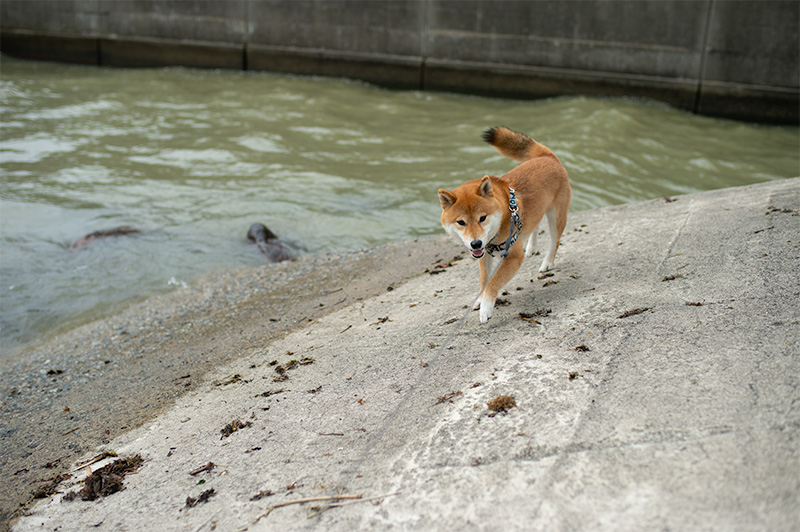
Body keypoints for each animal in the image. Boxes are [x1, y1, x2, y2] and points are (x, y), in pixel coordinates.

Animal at [438, 127, 568, 322]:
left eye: (482, 218)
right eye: (461, 222)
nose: (475, 243)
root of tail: (548, 157)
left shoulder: (513, 257)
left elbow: (493, 282)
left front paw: (486, 308)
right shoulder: (484, 254)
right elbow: (484, 280)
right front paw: (480, 300)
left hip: (556, 216)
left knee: (555, 241)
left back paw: (547, 263)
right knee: (534, 224)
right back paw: (532, 247)